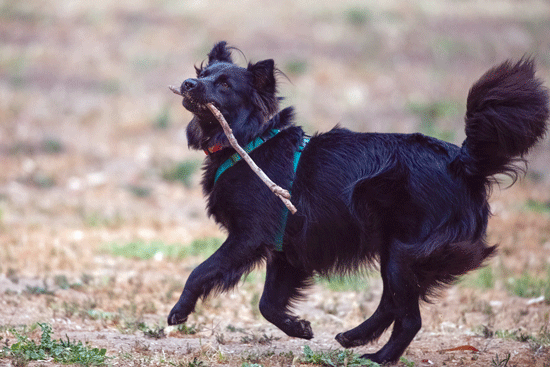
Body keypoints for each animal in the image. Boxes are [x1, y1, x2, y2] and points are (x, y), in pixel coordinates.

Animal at [169, 41, 550, 364]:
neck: (250, 142)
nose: (187, 83)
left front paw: (179, 311)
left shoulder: (249, 237)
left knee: (409, 318)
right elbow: (268, 304)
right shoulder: (287, 250)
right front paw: (299, 327)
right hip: (395, 251)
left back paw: (379, 358)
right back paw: (355, 337)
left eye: (224, 84)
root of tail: (463, 163)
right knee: (392, 304)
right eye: (203, 73)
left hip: (402, 254)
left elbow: (201, 271)